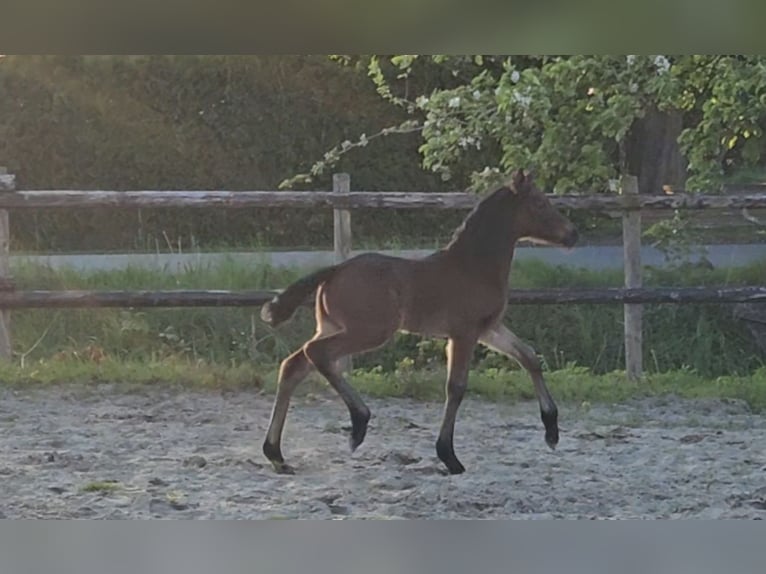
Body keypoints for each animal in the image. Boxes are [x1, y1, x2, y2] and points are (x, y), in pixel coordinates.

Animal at [260, 171, 580, 476]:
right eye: (540, 203)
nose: (573, 234)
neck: (473, 266)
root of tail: (335, 269)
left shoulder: (489, 329)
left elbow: (529, 357)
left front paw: (552, 431)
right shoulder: (464, 333)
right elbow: (456, 387)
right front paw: (449, 456)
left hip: (333, 327)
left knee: (293, 365)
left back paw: (277, 456)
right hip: (370, 331)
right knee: (317, 353)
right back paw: (358, 423)